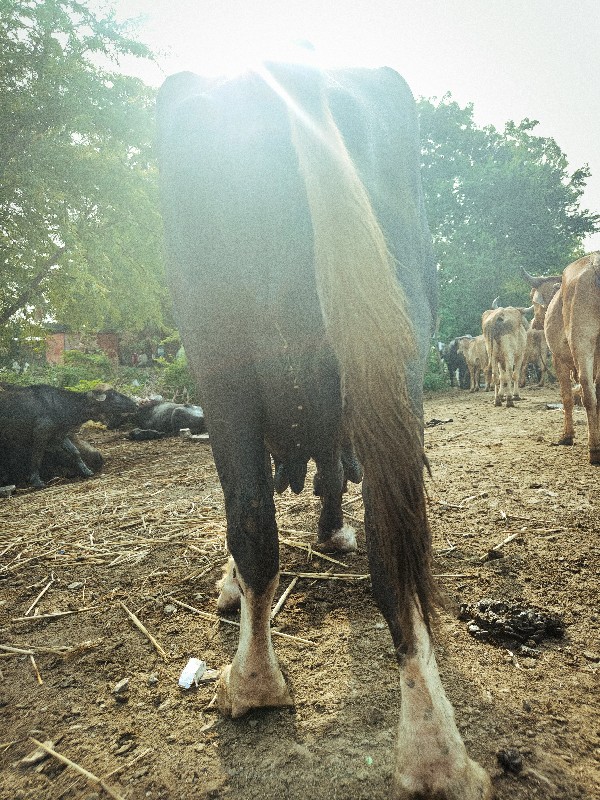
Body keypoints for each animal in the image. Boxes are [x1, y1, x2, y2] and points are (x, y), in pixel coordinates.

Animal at [0, 382, 137, 488]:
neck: (59, 405)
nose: (134, 403)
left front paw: (87, 471)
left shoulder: (60, 435)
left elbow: (75, 452)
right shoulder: (41, 433)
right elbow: (37, 457)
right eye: (112, 394)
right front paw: (37, 481)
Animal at [544, 250, 600, 462]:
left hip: (581, 339)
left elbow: (567, 397)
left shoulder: (558, 360)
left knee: (587, 391)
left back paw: (594, 450)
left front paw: (567, 436)